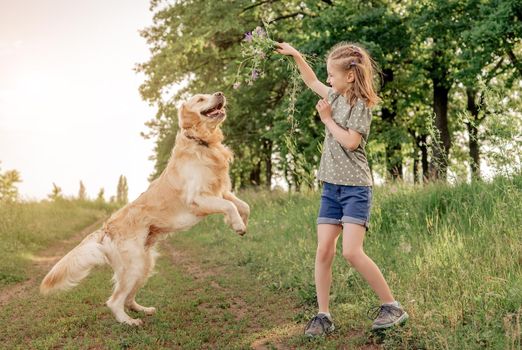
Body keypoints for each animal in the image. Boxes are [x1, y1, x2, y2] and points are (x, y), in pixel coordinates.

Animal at [40, 92, 250, 326]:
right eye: (200, 99)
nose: (220, 94)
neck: (203, 143)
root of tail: (106, 228)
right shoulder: (197, 198)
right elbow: (229, 205)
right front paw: (238, 225)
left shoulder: (221, 191)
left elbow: (243, 205)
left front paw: (241, 221)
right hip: (134, 264)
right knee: (114, 301)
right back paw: (129, 321)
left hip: (145, 264)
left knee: (128, 298)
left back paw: (143, 310)